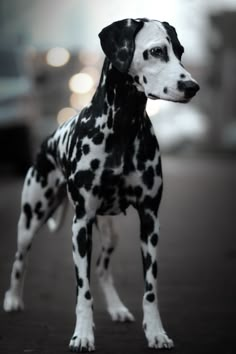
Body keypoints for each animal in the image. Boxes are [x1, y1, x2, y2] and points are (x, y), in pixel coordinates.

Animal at [3, 17, 199, 352]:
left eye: (181, 51)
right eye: (156, 51)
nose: (192, 87)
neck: (123, 126)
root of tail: (47, 141)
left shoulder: (150, 222)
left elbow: (150, 290)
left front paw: (155, 332)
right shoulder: (80, 225)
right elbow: (83, 291)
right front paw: (82, 334)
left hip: (109, 234)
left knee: (103, 269)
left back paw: (117, 308)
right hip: (30, 219)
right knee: (19, 260)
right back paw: (13, 300)